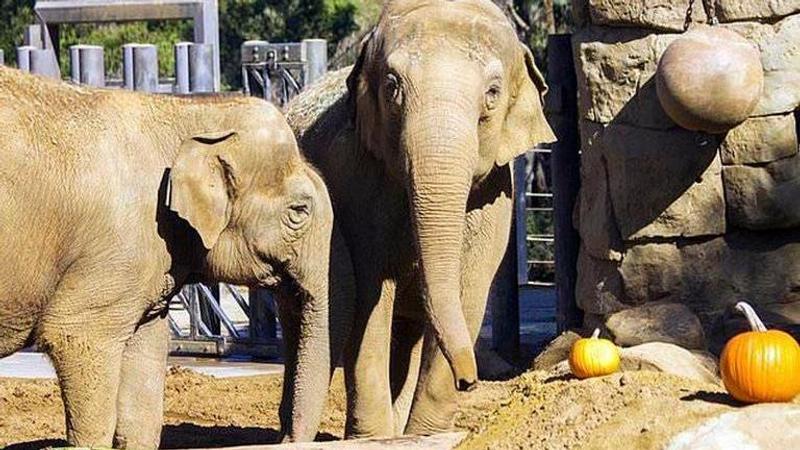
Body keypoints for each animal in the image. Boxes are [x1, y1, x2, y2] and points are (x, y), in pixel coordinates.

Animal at [0, 68, 352, 448]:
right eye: (299, 211)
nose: (284, 436)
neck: (184, 111)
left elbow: (146, 359)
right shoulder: (117, 248)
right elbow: (74, 334)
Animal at [286, 0, 556, 438]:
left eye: (493, 94)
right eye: (392, 86)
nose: (471, 380)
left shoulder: (495, 198)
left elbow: (468, 294)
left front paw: (425, 435)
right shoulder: (358, 186)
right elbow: (369, 296)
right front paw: (373, 439)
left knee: (407, 335)